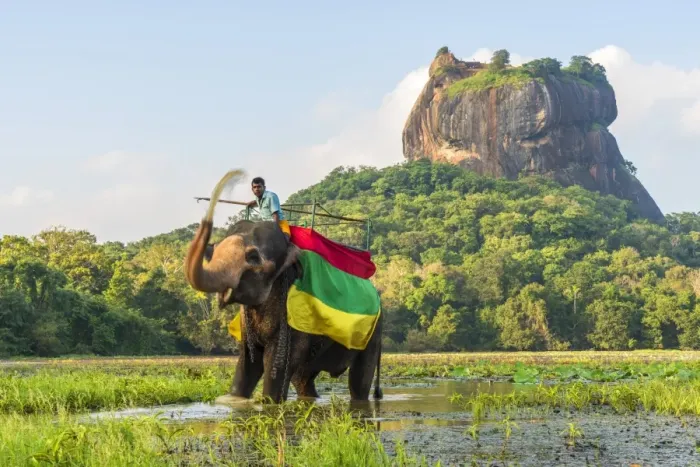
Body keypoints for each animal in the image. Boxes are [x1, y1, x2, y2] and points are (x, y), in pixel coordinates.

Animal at [184, 170, 383, 404]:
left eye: (253, 257)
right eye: (212, 252)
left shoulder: (294, 319)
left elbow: (278, 363)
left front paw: (268, 403)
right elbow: (248, 362)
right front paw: (234, 400)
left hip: (374, 331)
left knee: (359, 379)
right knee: (304, 378)